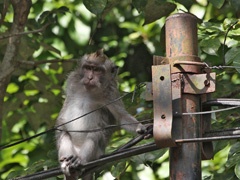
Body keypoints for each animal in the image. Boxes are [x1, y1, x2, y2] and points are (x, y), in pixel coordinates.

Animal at [56, 49, 146, 180]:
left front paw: (142, 128)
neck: (89, 90)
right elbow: (63, 117)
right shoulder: (73, 81)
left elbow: (121, 117)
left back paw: (79, 161)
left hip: (97, 153)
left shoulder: (111, 92)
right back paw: (67, 165)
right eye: (88, 68)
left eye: (97, 70)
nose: (89, 77)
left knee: (96, 133)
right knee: (65, 134)